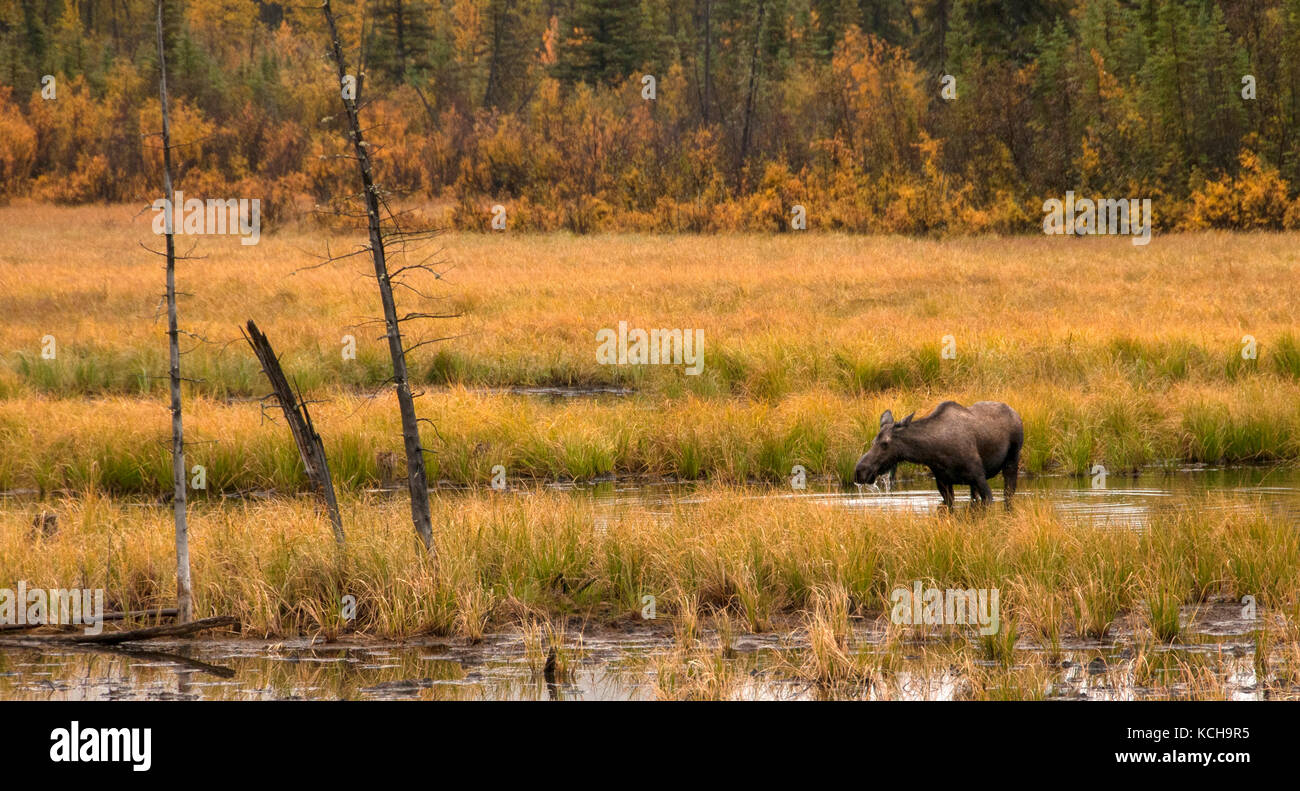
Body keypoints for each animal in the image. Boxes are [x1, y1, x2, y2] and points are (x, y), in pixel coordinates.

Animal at [852, 400, 1024, 507]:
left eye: (885, 444)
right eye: (873, 441)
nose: (860, 471)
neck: (933, 452)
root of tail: (1016, 414)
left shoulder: (979, 477)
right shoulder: (943, 482)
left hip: (1012, 460)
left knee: (1009, 492)